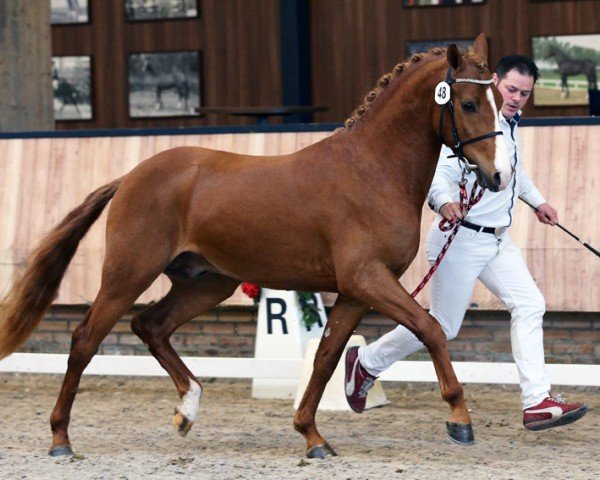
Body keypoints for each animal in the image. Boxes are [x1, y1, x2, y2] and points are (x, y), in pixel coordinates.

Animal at [0, 32, 510, 458]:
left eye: (503, 100)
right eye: (468, 104)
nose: (499, 176)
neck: (373, 169)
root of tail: (130, 177)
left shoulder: (353, 291)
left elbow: (325, 357)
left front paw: (312, 436)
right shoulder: (367, 279)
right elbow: (430, 329)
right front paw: (459, 419)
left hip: (206, 282)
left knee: (151, 325)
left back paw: (187, 410)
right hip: (128, 273)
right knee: (86, 339)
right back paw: (60, 439)